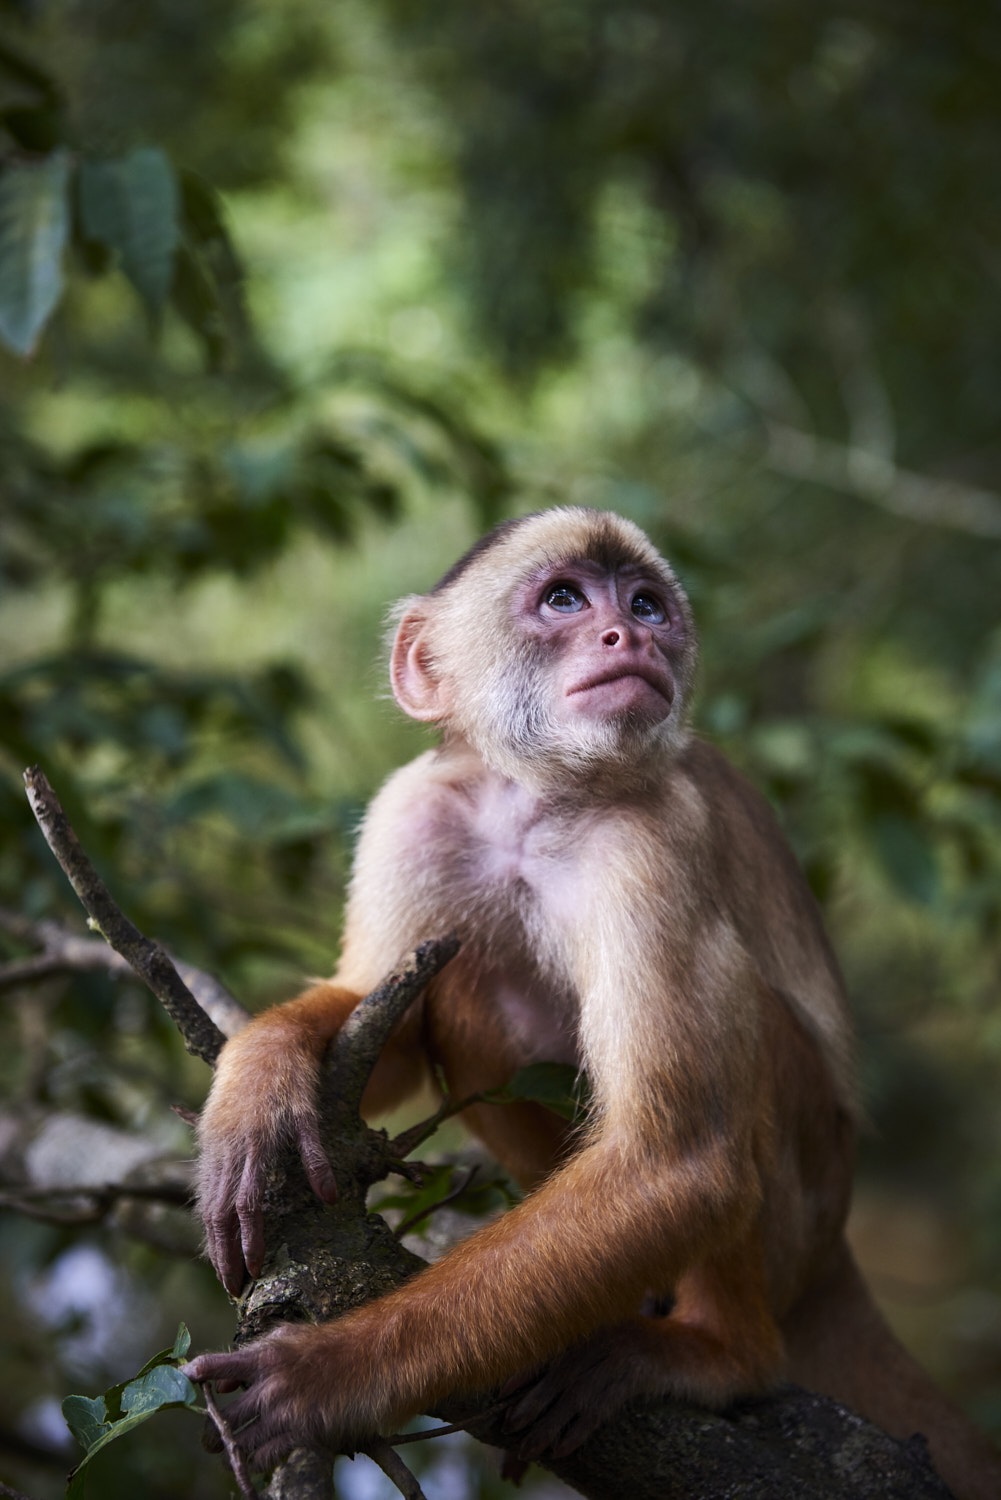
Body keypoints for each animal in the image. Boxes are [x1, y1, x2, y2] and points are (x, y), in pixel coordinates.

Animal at [186, 507, 1001, 1500]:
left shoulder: (652, 840)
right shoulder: (412, 810)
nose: (631, 636)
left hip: (802, 1210)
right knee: (471, 988)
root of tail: (836, 1248)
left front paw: (326, 1377)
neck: (537, 802)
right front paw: (256, 1083)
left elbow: (677, 1165)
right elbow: (382, 1034)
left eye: (646, 604)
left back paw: (722, 1351)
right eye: (566, 600)